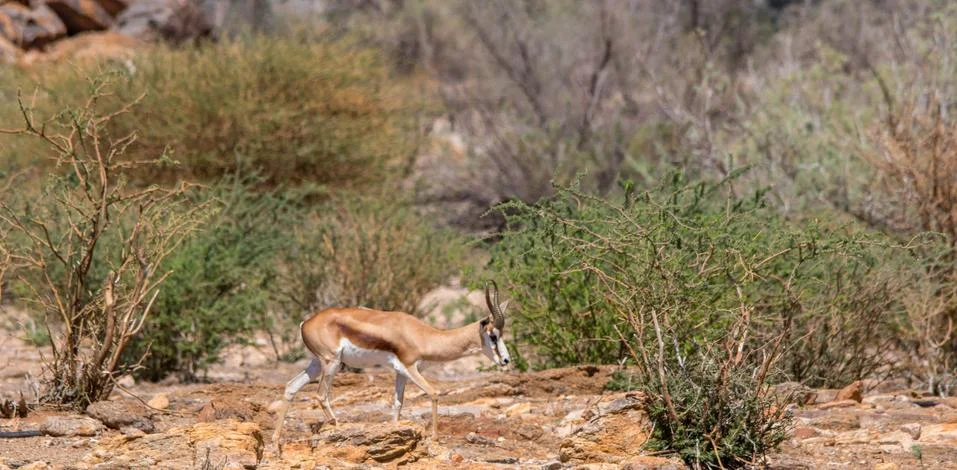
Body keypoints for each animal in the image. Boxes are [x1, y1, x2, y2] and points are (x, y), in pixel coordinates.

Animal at [271, 281, 512, 444]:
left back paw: (275, 441)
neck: (424, 335)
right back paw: (339, 428)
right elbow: (434, 393)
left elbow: (397, 404)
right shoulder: (410, 367)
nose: (506, 360)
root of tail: (306, 323)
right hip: (332, 363)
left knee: (290, 386)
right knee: (321, 395)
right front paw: (434, 438)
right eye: (493, 336)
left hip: (316, 364)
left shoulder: (400, 372)